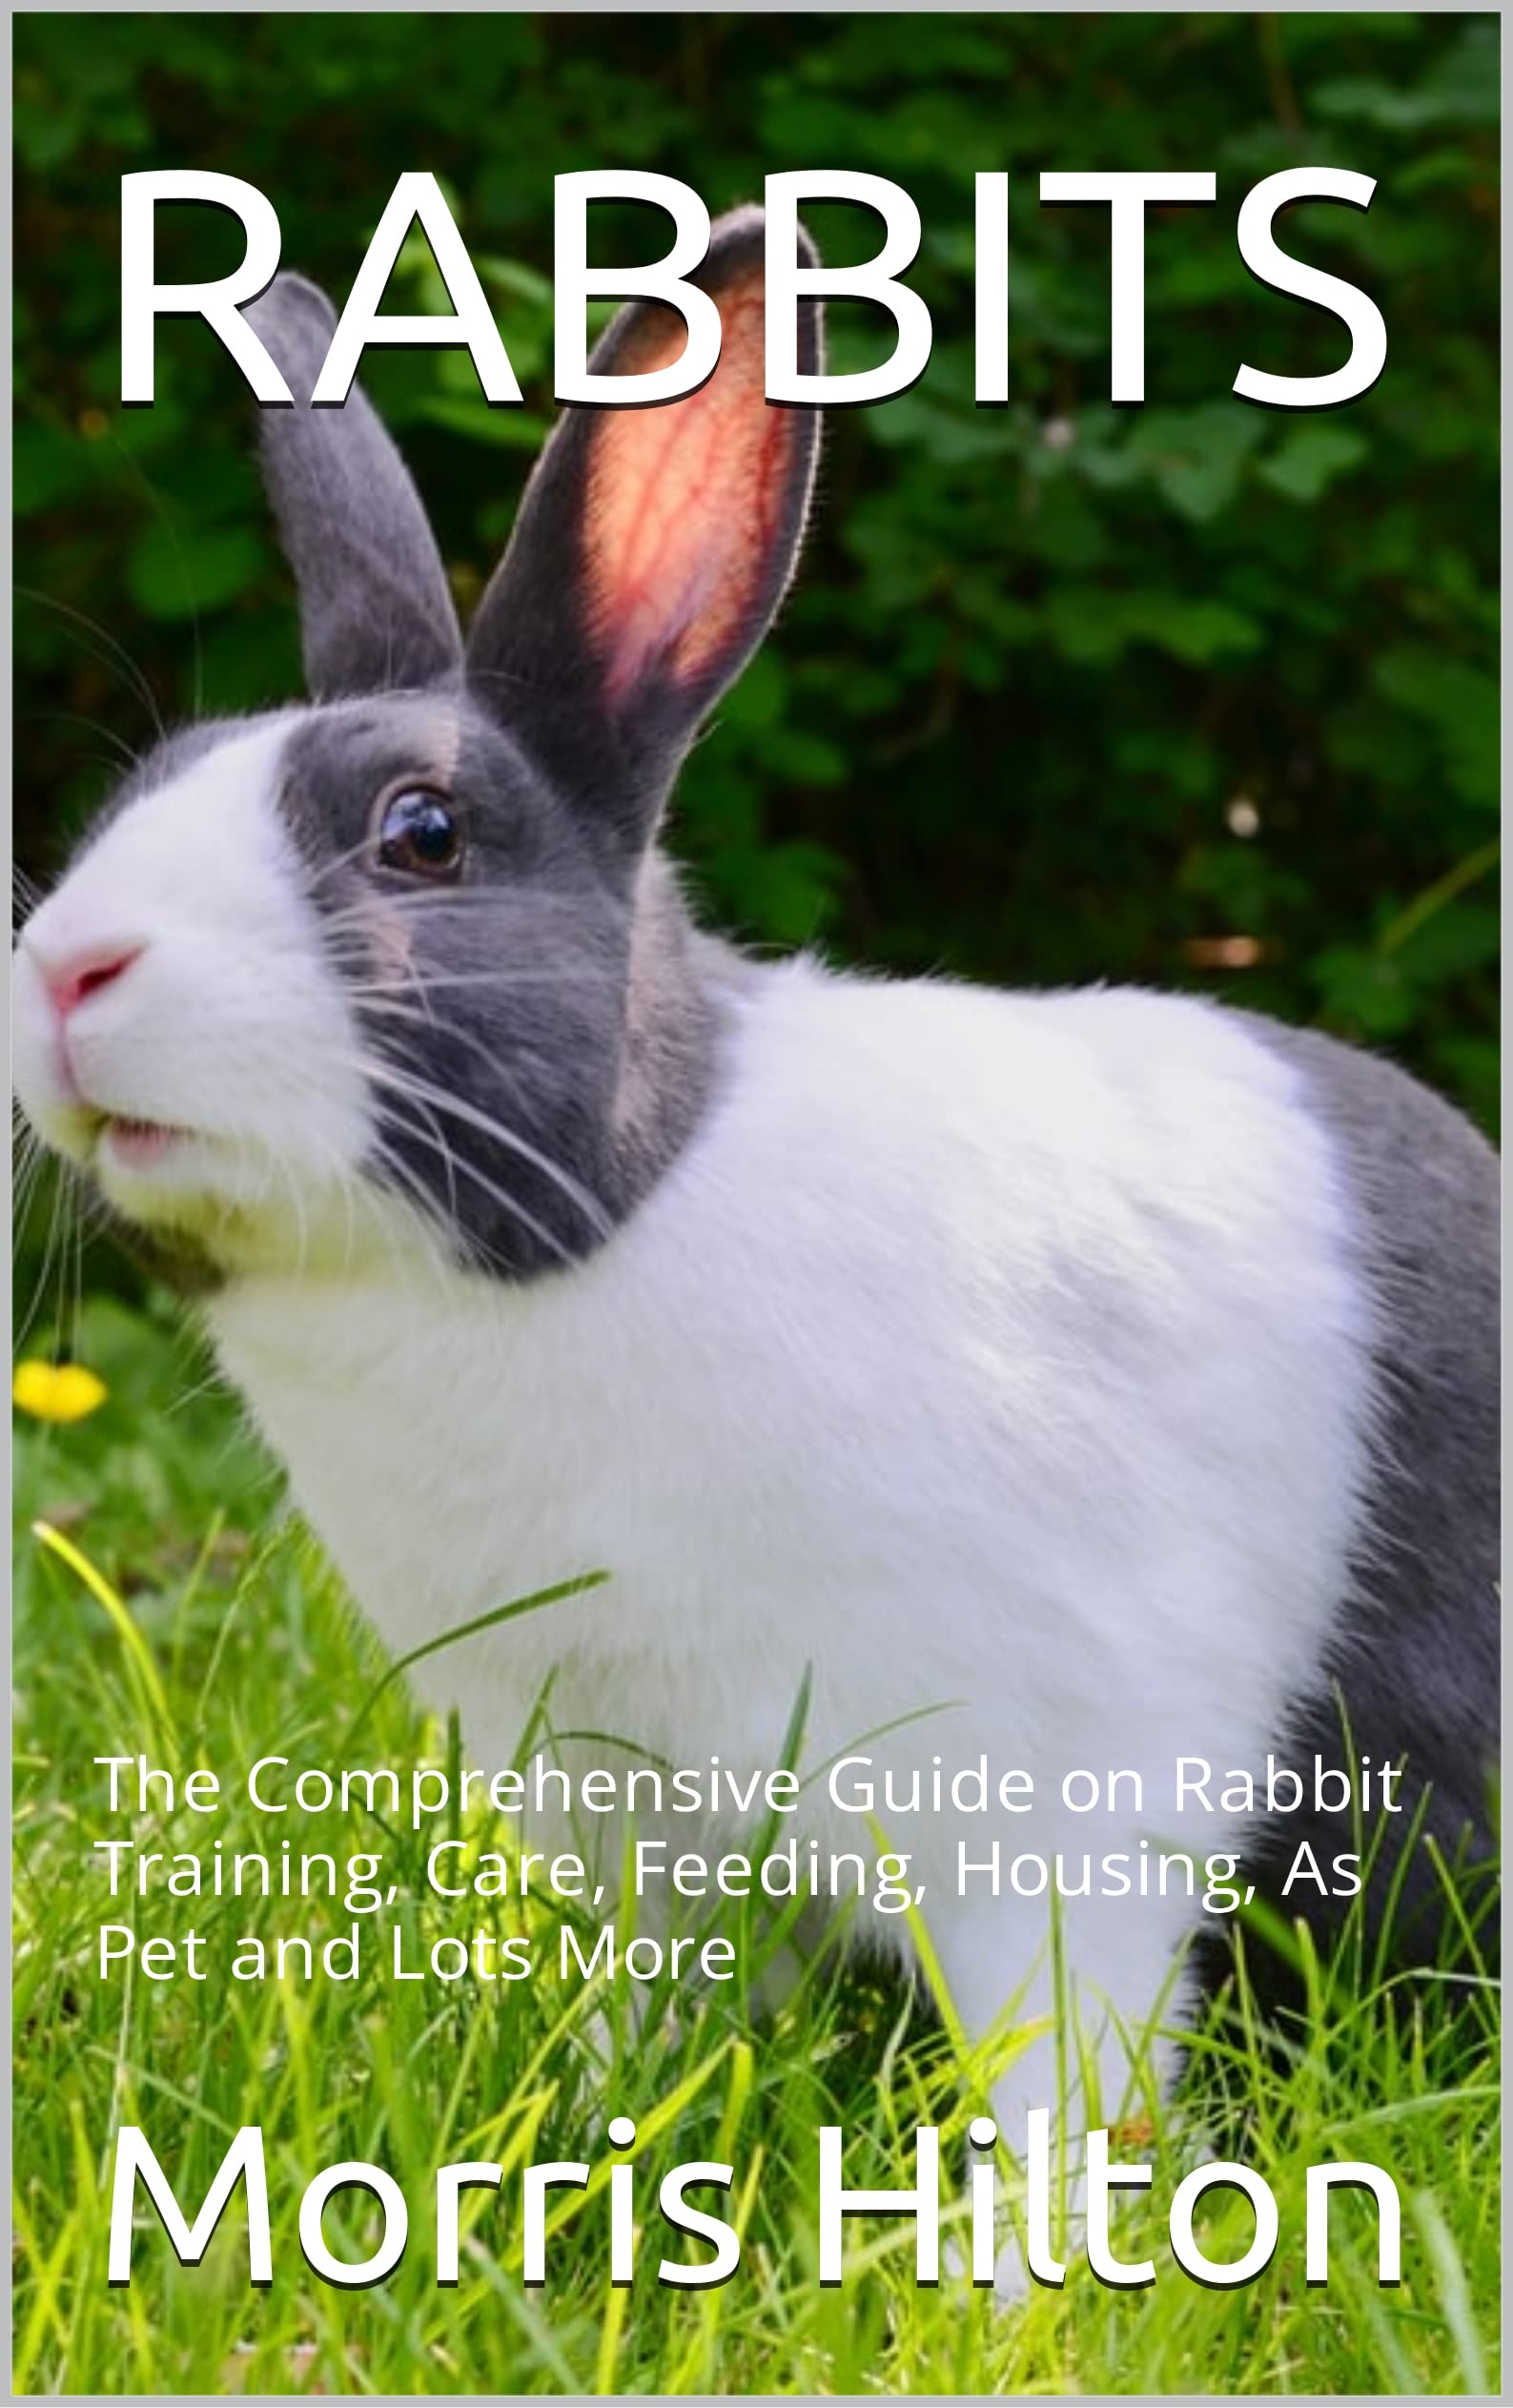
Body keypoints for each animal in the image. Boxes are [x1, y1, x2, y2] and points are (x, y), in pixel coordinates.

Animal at [14, 207, 1498, 2297]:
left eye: (420, 833)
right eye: (143, 792)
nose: (70, 969)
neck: (600, 1230)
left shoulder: (1045, 1805)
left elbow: (1067, 2062)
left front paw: (1012, 2289)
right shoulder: (640, 1823)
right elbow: (668, 2008)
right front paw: (588, 2143)